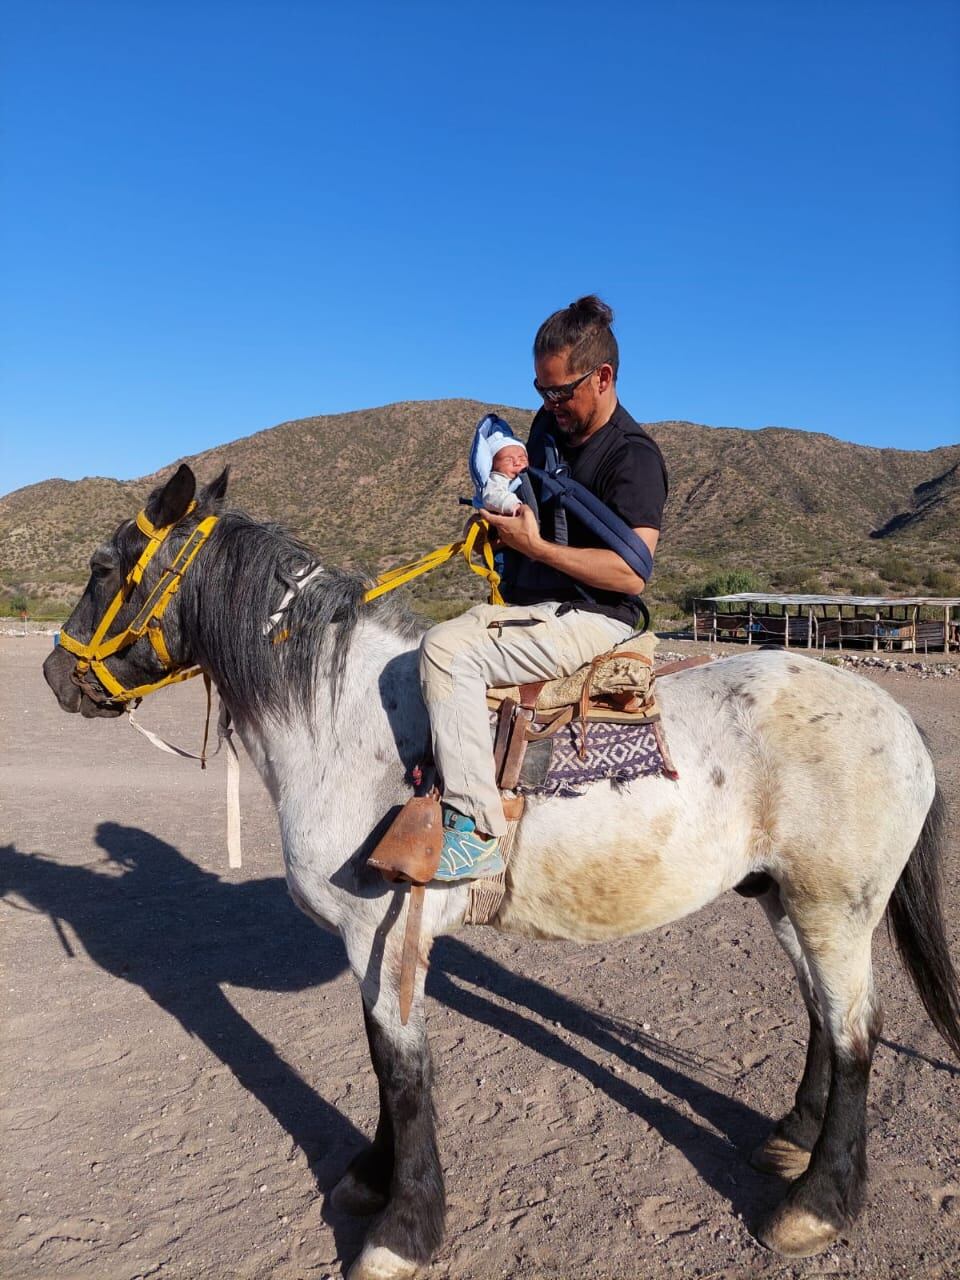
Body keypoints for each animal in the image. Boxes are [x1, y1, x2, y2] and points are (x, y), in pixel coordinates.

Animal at [43, 465, 960, 1274]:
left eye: (102, 566)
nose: (56, 675)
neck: (349, 726)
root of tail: (895, 715)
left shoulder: (384, 932)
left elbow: (403, 1071)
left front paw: (403, 1232)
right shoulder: (373, 944)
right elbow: (380, 1057)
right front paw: (372, 1178)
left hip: (836, 905)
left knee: (855, 1031)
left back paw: (817, 1206)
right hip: (784, 897)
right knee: (821, 1016)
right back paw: (790, 1140)